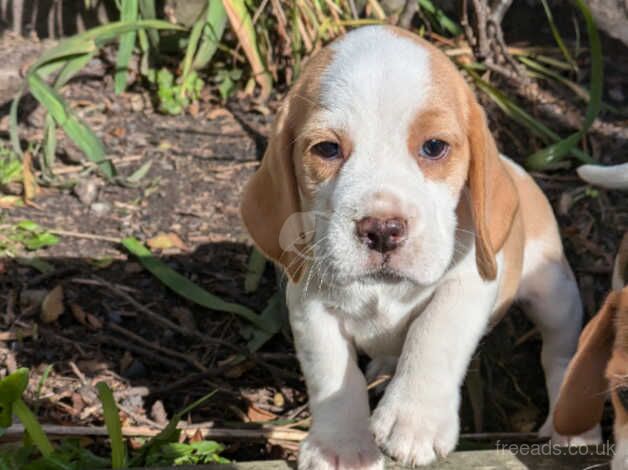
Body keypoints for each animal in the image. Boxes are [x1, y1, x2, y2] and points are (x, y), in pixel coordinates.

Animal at [240, 26, 600, 470]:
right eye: (326, 149)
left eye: (433, 147)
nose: (382, 230)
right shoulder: (310, 307)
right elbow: (332, 373)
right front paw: (341, 445)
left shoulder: (467, 286)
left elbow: (433, 335)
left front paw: (413, 421)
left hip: (554, 291)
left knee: (561, 350)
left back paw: (573, 429)